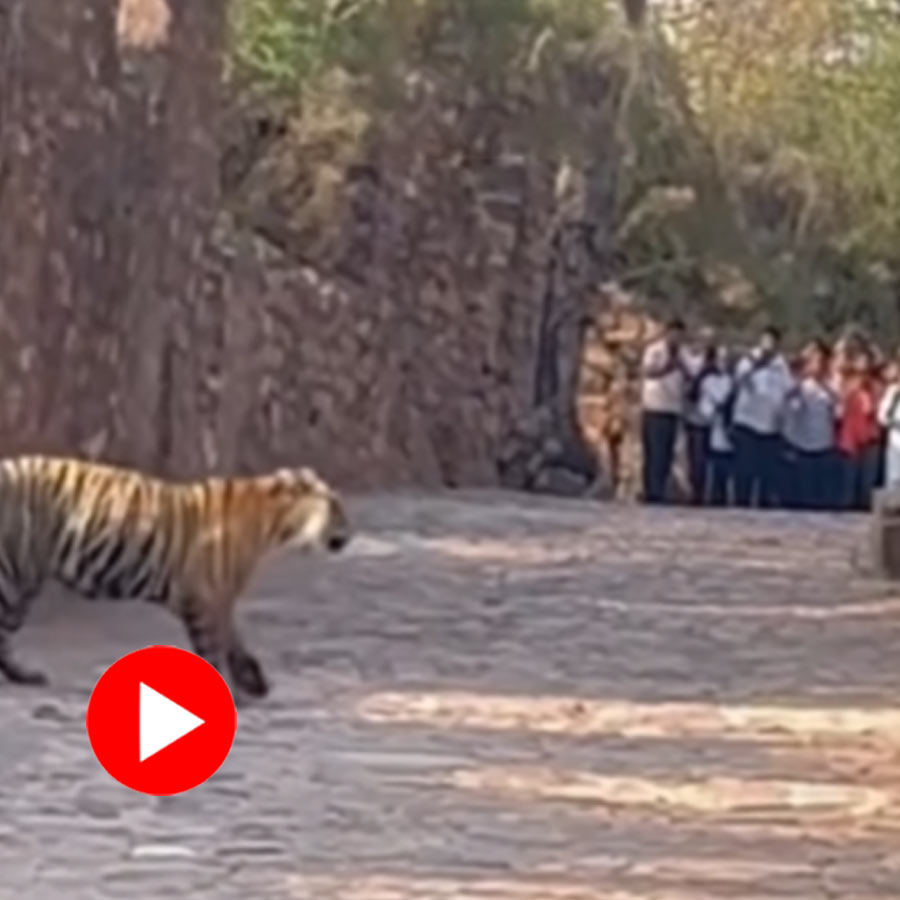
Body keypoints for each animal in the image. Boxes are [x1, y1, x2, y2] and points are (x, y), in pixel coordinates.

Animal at [0, 454, 351, 702]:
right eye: (336, 508)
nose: (349, 536)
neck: (274, 525)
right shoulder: (205, 599)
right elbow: (214, 648)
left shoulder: (220, 598)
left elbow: (235, 641)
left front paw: (254, 682)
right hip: (13, 578)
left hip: (24, 584)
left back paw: (25, 676)